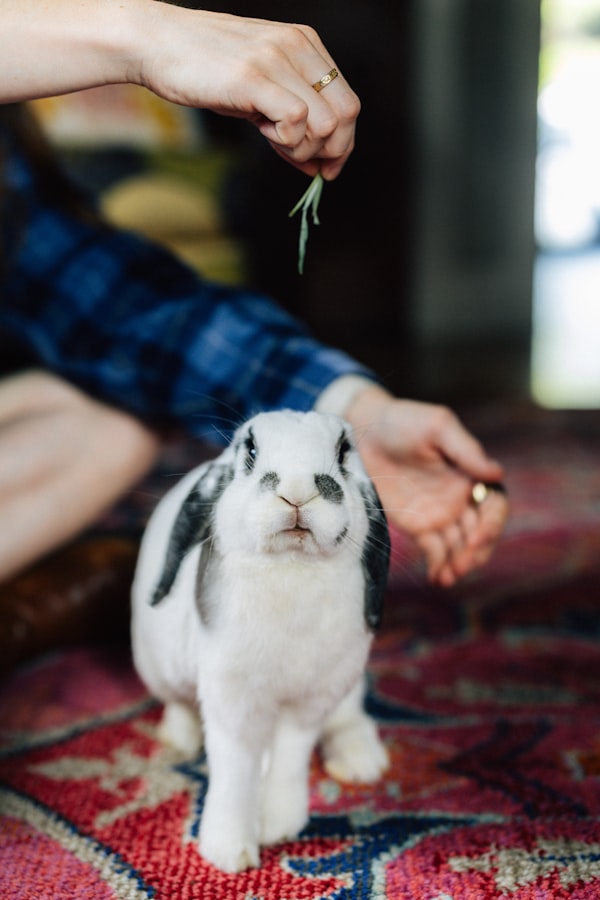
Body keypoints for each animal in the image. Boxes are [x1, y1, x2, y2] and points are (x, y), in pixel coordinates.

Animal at [131, 409, 390, 873]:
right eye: (250, 450)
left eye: (343, 451)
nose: (298, 491)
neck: (292, 565)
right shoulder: (234, 701)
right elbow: (236, 769)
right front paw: (229, 853)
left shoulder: (310, 701)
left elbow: (290, 756)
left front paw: (279, 826)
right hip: (160, 669)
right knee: (178, 703)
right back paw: (178, 740)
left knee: (346, 715)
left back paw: (362, 761)